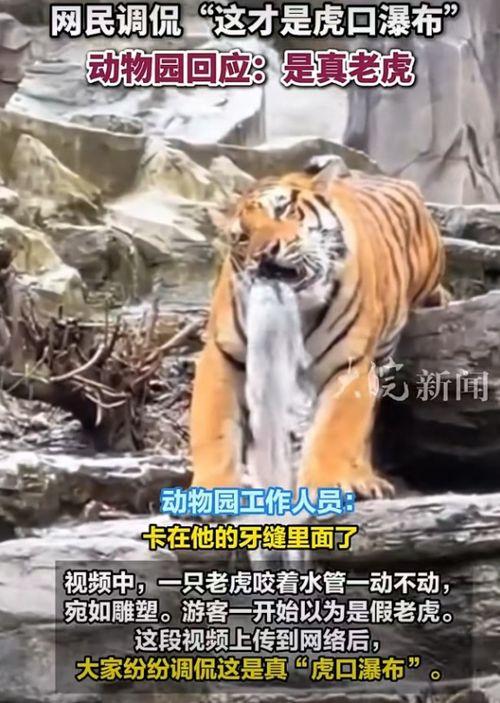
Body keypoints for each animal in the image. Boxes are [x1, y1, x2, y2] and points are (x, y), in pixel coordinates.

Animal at [189, 157, 447, 498]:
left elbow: (332, 434)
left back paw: (363, 479)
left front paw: (322, 489)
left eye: (283, 211)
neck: (299, 310)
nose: (264, 254)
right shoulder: (223, 356)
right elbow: (214, 432)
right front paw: (211, 492)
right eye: (242, 237)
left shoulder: (348, 366)